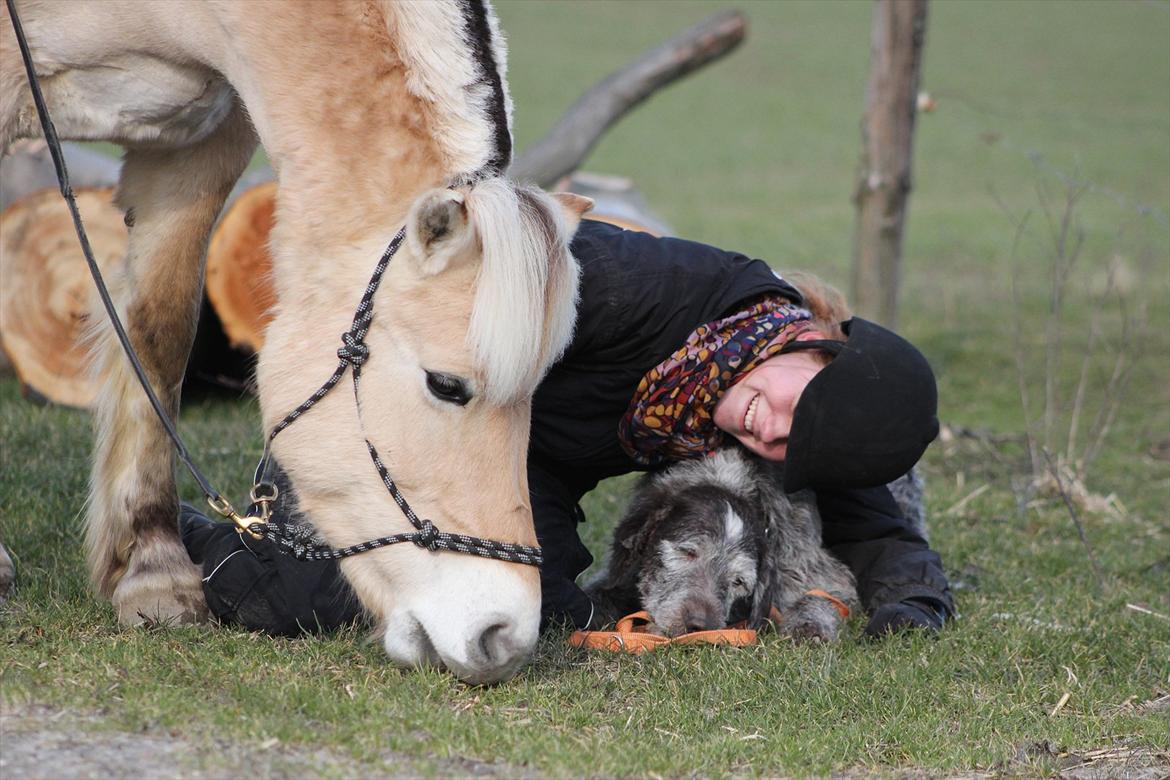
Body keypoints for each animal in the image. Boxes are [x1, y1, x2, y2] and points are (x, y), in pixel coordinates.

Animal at [589, 449, 917, 645]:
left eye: (739, 581)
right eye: (687, 552)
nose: (698, 625)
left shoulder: (811, 566)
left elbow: (818, 596)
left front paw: (809, 630)